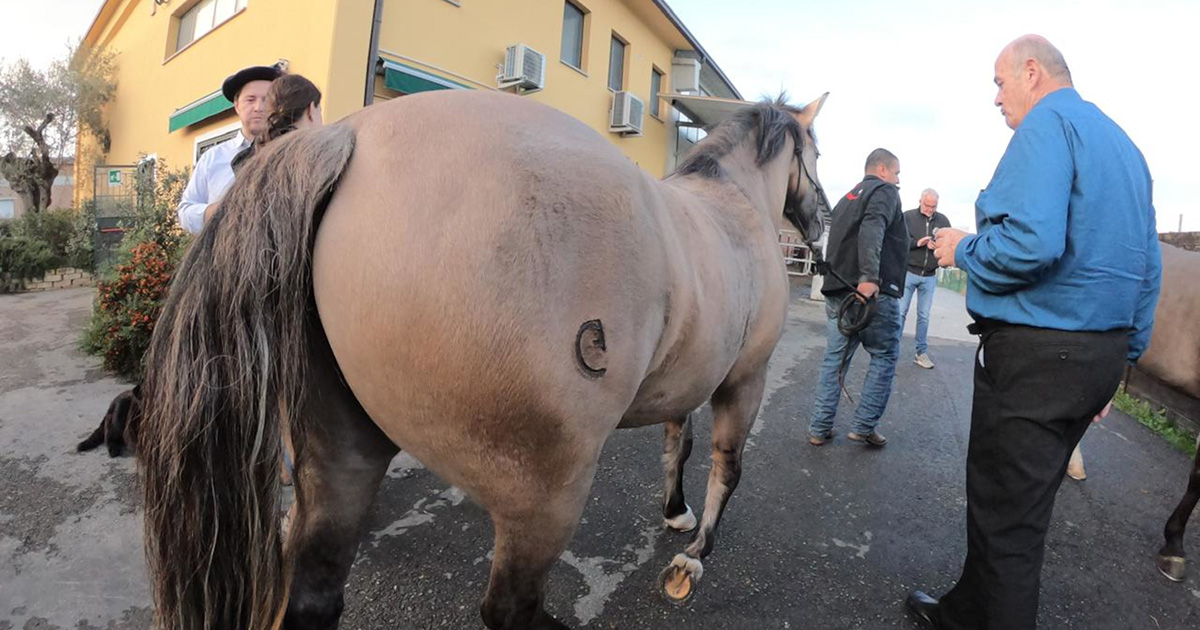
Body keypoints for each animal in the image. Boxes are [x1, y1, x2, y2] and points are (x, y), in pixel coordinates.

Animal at [140, 89, 830, 628]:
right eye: (818, 152)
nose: (820, 221)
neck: (731, 204)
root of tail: (350, 135)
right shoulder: (745, 379)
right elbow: (726, 467)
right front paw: (695, 556)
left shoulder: (688, 381)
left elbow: (676, 447)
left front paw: (675, 514)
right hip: (544, 494)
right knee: (509, 610)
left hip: (337, 456)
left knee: (313, 594)